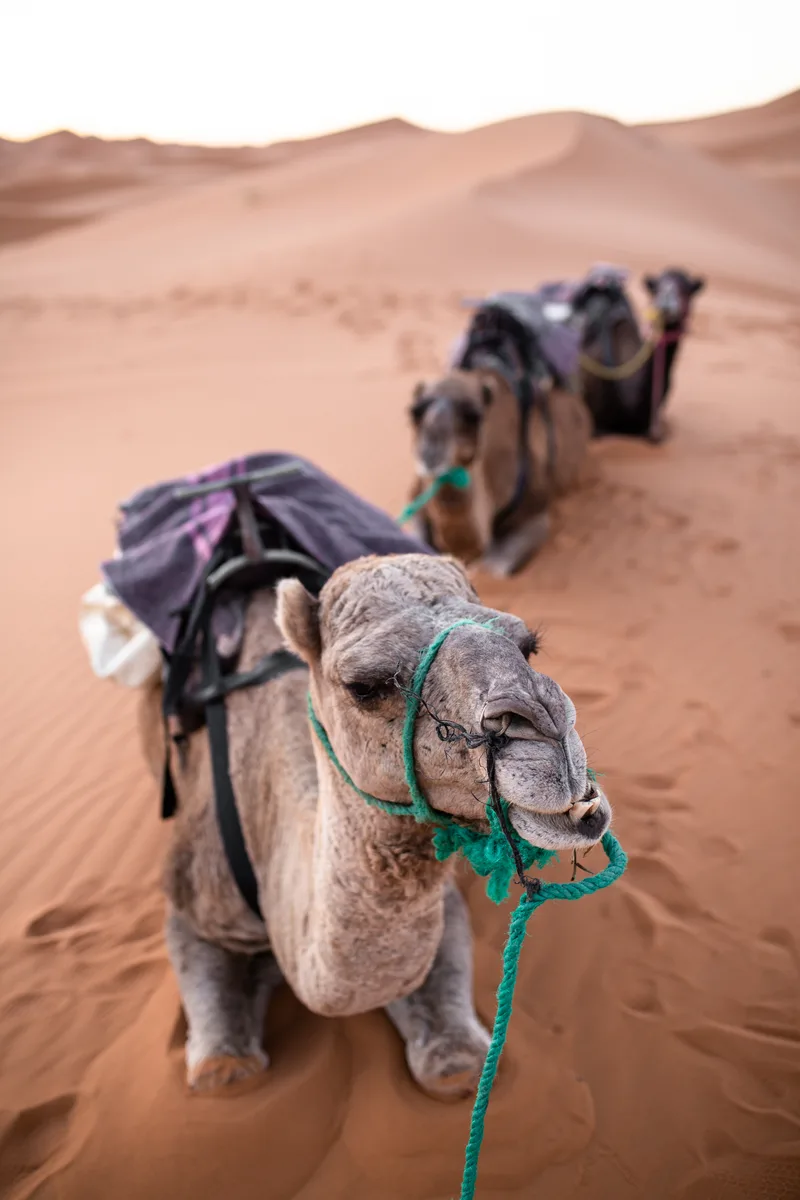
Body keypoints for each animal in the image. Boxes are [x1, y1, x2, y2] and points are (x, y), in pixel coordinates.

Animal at [140, 552, 611, 1097]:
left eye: (527, 646)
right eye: (364, 687)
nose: (549, 728)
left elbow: (455, 1065)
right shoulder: (191, 897)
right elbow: (223, 1071)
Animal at [406, 369, 590, 577]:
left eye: (474, 415)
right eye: (415, 412)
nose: (431, 450)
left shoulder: (534, 510)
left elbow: (494, 568)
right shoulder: (416, 498)